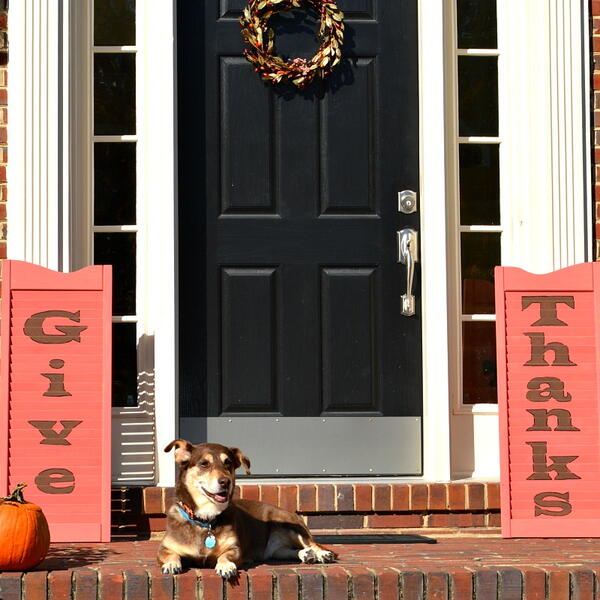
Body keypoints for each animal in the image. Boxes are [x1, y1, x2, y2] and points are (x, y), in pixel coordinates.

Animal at [159, 440, 336, 576]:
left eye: (228, 463)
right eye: (204, 464)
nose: (226, 481)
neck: (206, 519)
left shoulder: (235, 549)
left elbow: (225, 556)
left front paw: (225, 565)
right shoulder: (164, 548)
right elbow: (170, 554)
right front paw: (171, 564)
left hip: (288, 525)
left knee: (312, 543)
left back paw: (322, 554)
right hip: (275, 550)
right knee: (286, 551)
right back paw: (306, 555)